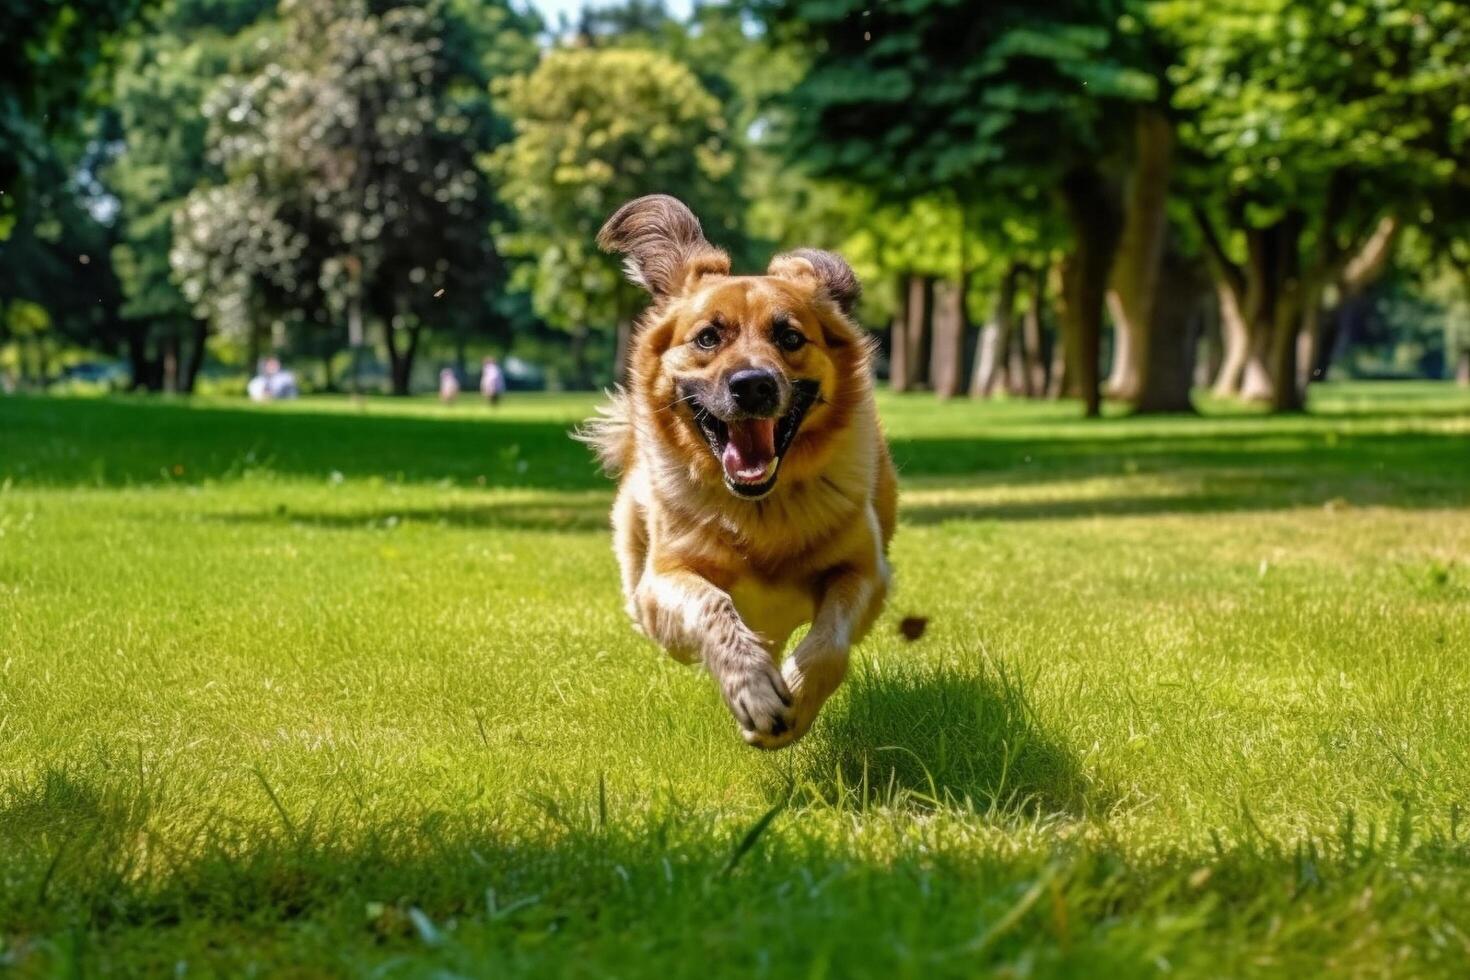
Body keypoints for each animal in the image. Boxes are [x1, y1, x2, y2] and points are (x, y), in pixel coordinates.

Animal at [579, 196, 887, 752]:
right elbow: (712, 605)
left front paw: (795, 698)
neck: (759, 509)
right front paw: (755, 691)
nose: (753, 385)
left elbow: (828, 644)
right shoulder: (667, 578)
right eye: (707, 337)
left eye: (789, 336)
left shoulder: (865, 572)